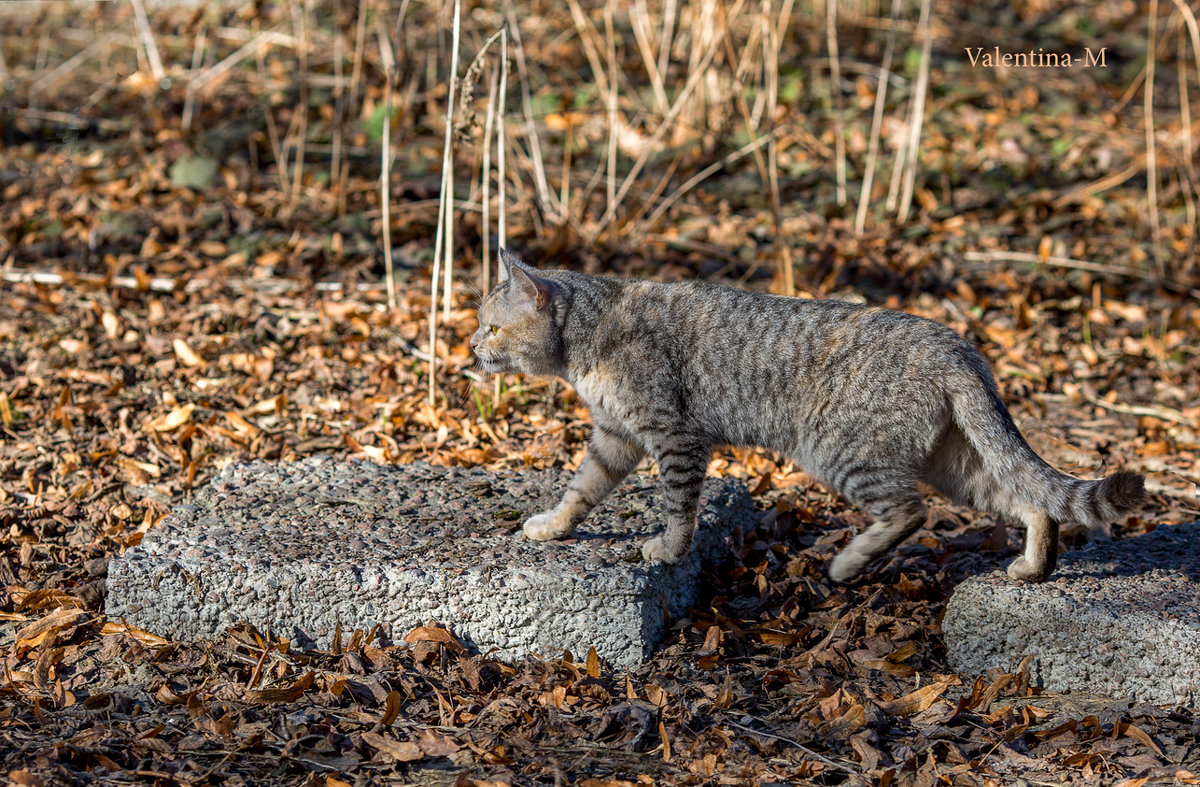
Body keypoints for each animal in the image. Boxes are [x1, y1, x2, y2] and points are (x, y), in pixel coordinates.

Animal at [468, 249, 1142, 580]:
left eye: (492, 327)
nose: (470, 348)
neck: (589, 338)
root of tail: (957, 346)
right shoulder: (615, 437)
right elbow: (581, 489)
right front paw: (554, 526)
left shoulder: (675, 435)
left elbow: (679, 506)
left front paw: (668, 549)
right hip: (956, 463)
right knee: (1031, 500)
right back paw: (1032, 567)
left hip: (841, 451)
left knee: (910, 511)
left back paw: (847, 564)